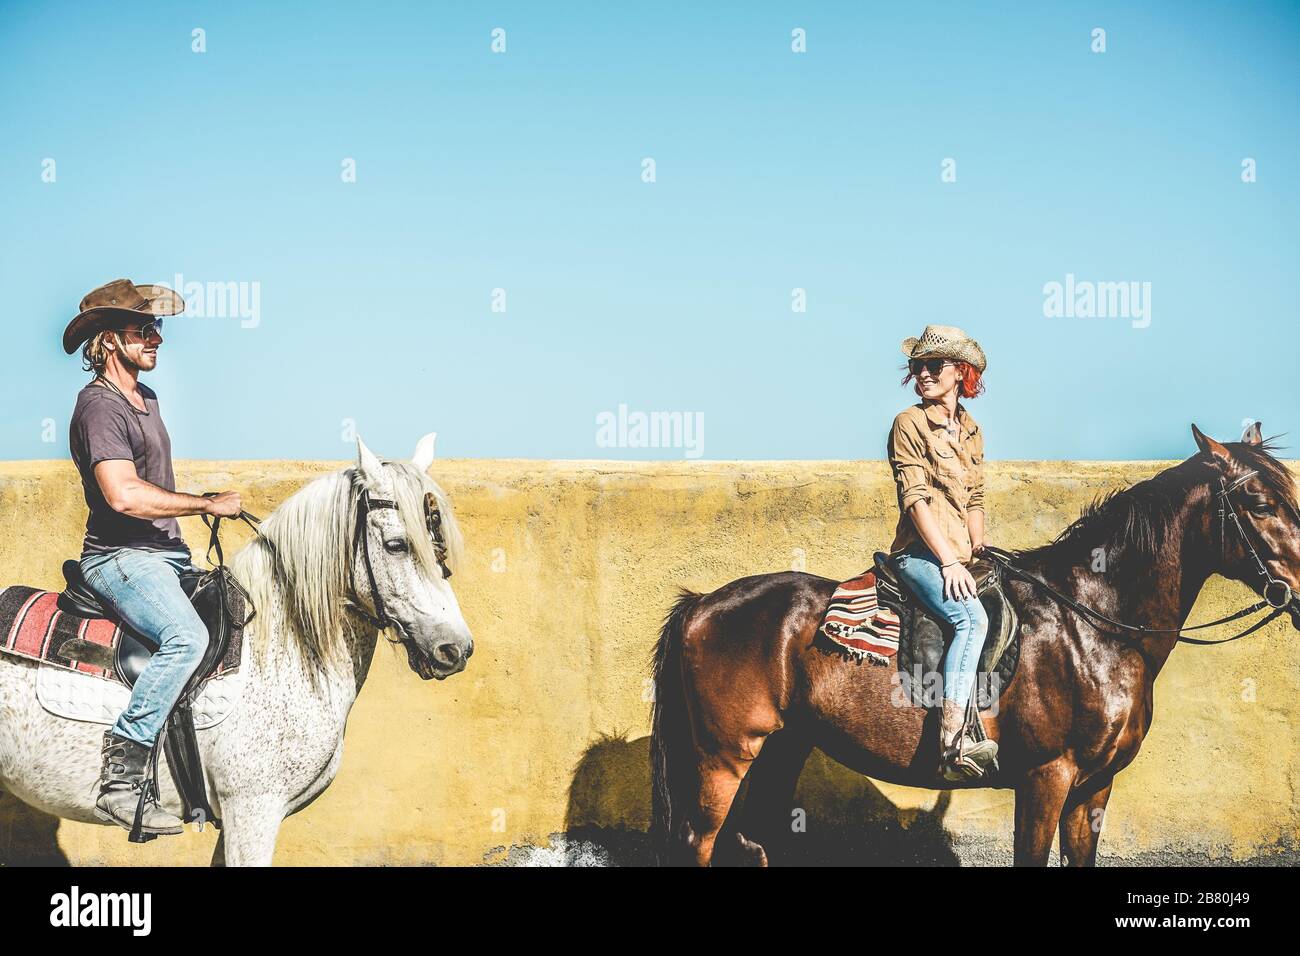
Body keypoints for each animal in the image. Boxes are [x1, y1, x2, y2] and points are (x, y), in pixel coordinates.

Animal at [0, 434, 473, 868]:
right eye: (397, 544)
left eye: (440, 548)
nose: (456, 648)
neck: (278, 647)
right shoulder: (253, 809)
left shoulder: (235, 820)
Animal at [650, 426, 1300, 868]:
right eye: (1261, 504)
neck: (1094, 627)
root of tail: (701, 604)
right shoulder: (1046, 777)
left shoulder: (1093, 787)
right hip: (724, 755)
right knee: (700, 842)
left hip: (782, 747)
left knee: (754, 839)